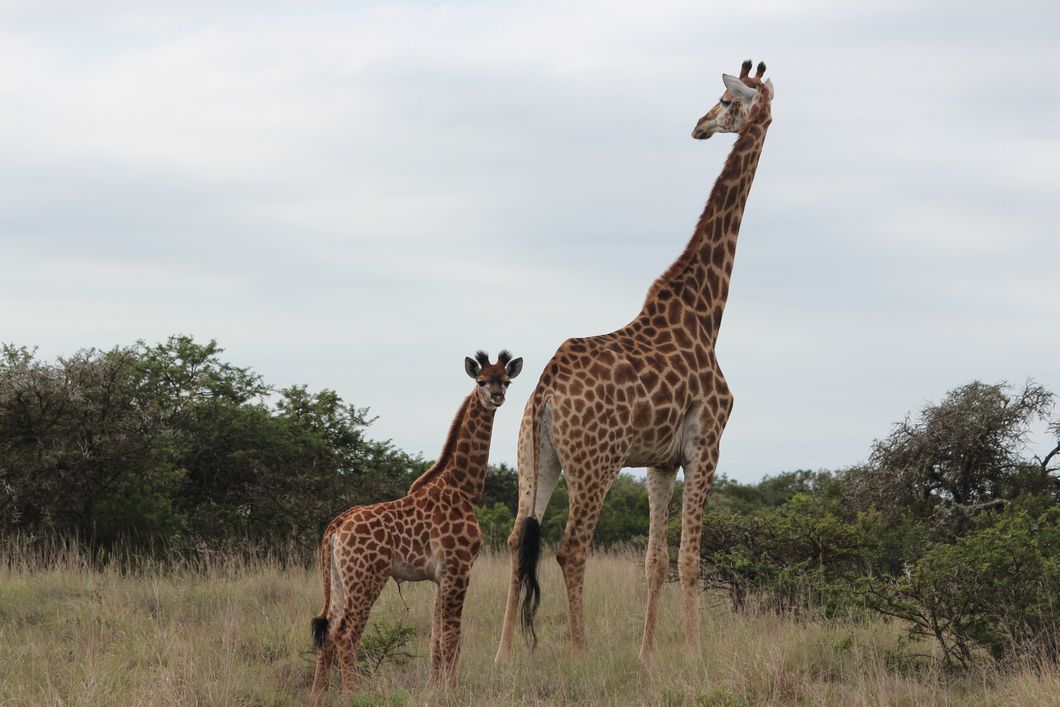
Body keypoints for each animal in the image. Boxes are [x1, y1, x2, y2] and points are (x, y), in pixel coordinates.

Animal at [309, 350, 523, 700]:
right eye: (481, 381)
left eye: (506, 381)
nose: (496, 397)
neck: (464, 488)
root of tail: (337, 526)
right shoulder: (459, 568)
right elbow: (452, 636)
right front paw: (451, 692)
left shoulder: (440, 576)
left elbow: (436, 637)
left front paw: (433, 689)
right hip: (366, 578)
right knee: (346, 635)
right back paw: (352, 694)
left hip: (339, 581)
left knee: (328, 632)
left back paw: (317, 696)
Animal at [495, 60, 774, 664]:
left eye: (723, 101)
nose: (698, 125)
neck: (706, 313)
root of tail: (545, 389)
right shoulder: (706, 445)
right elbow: (690, 560)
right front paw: (695, 657)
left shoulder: (660, 461)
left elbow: (655, 562)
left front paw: (647, 659)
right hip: (596, 461)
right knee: (570, 548)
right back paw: (579, 655)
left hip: (536, 456)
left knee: (515, 538)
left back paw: (502, 656)